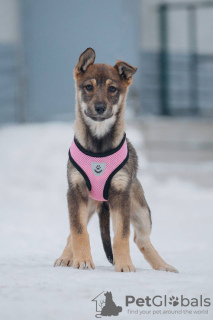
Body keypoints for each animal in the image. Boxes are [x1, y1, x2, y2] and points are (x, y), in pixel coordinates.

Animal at [54, 48, 178, 272]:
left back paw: (163, 266)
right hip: (88, 204)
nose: (100, 108)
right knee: (73, 232)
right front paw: (82, 260)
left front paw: (124, 265)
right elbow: (78, 231)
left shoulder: (121, 195)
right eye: (88, 87)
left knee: (141, 239)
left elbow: (122, 235)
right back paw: (66, 257)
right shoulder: (75, 191)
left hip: (141, 211)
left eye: (112, 89)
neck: (99, 142)